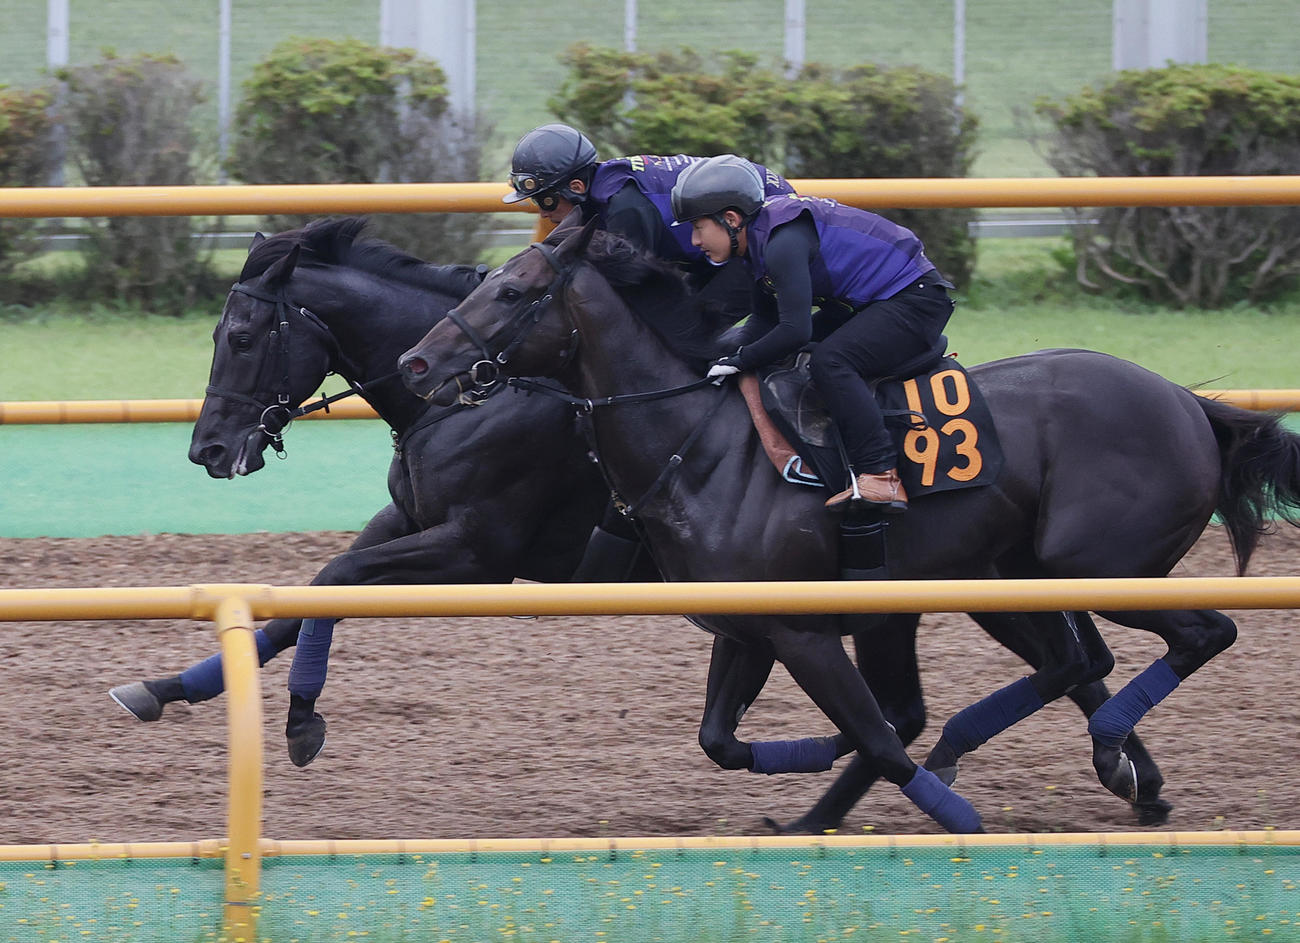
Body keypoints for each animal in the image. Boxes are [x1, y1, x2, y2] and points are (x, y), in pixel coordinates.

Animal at [397, 217, 1300, 832]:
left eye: (511, 292)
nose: (416, 363)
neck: (702, 446)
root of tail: (1189, 401)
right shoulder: (753, 627)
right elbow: (726, 737)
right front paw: (808, 797)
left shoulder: (806, 631)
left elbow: (880, 736)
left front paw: (950, 817)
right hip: (1011, 577)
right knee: (1078, 660)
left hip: (1097, 567)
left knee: (1200, 633)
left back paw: (1103, 748)